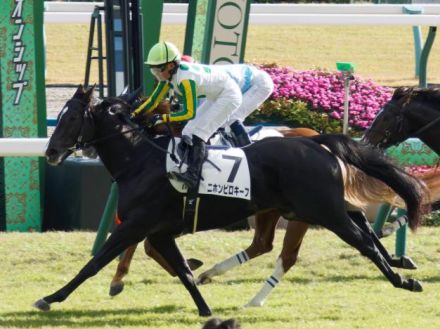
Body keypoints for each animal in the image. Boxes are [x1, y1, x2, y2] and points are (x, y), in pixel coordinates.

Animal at [36, 85, 428, 316]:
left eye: (73, 117)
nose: (51, 152)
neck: (141, 160)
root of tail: (315, 141)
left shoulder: (137, 224)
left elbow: (94, 263)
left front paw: (51, 298)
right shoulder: (159, 231)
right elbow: (183, 272)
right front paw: (205, 309)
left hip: (322, 211)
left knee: (361, 240)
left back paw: (401, 279)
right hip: (311, 207)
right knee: (357, 222)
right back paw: (399, 263)